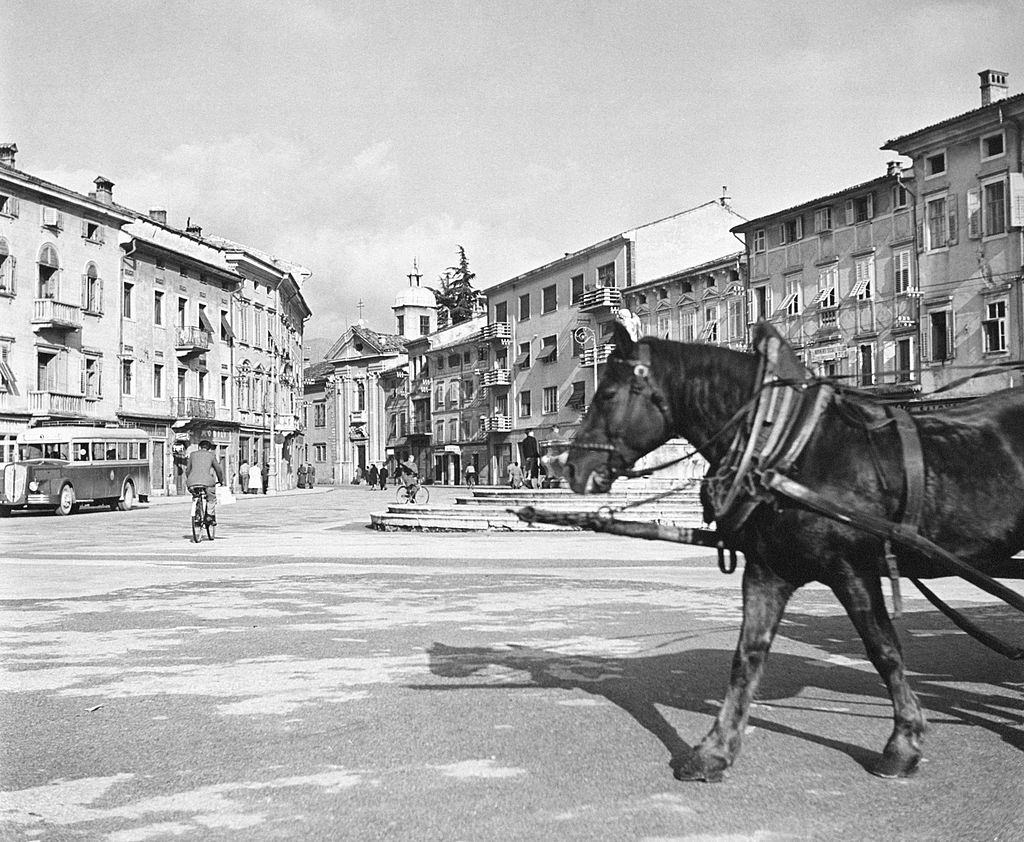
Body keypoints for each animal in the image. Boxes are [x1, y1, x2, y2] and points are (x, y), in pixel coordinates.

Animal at [561, 317, 1024, 786]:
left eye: (608, 394)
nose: (569, 466)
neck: (788, 445)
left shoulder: (853, 569)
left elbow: (884, 650)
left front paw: (902, 744)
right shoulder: (768, 571)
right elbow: (747, 657)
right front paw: (714, 751)